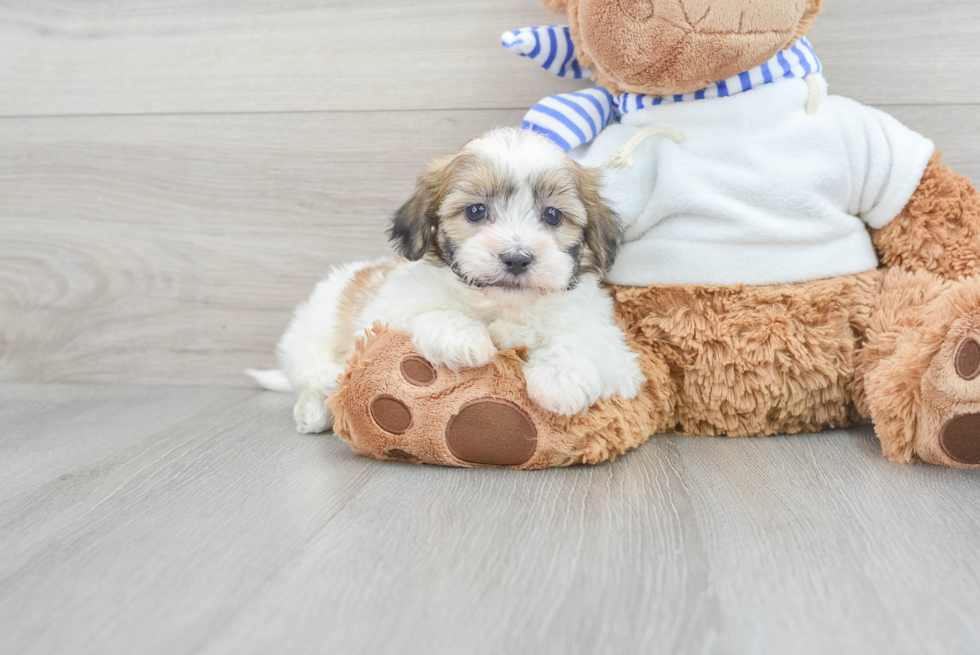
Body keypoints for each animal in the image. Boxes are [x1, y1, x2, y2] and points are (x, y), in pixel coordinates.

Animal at [249, 128, 648, 436]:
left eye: (552, 215)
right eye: (476, 211)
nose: (517, 258)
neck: (503, 306)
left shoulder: (615, 351)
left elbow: (579, 343)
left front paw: (560, 379)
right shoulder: (387, 311)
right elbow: (429, 313)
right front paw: (463, 336)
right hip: (314, 327)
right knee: (309, 373)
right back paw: (316, 404)